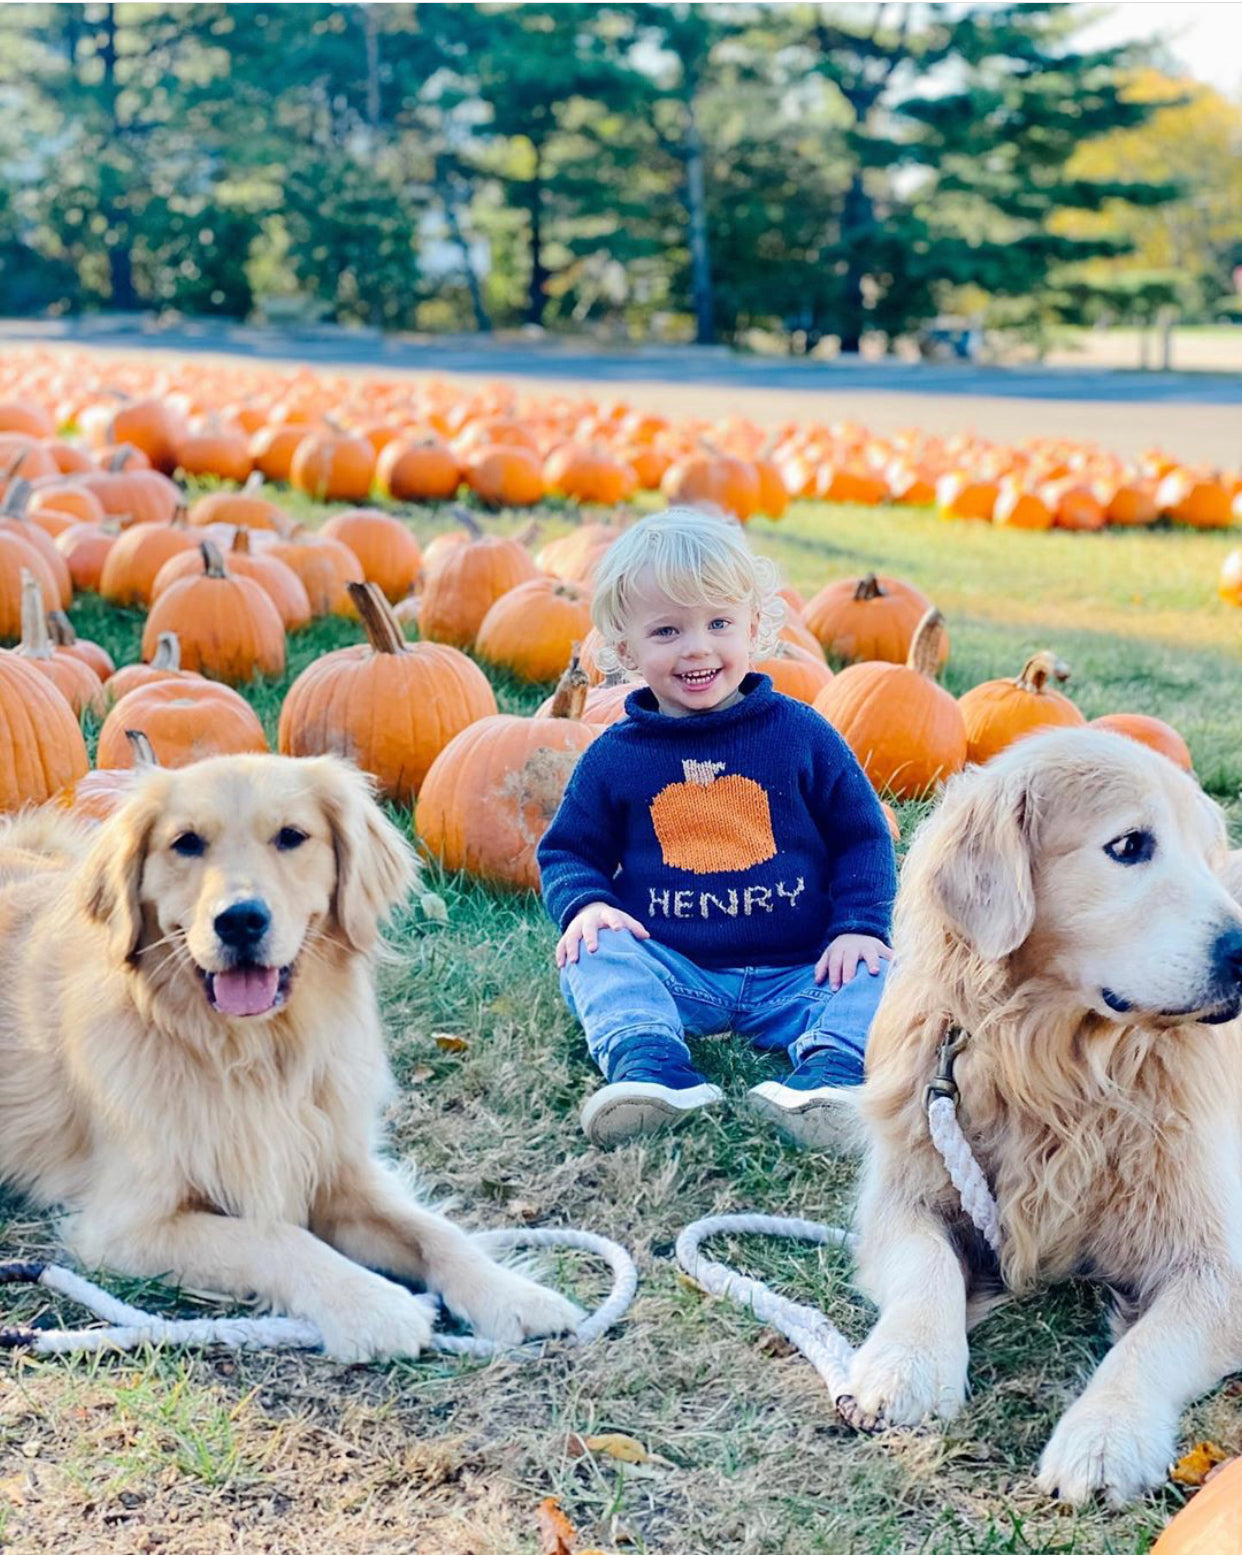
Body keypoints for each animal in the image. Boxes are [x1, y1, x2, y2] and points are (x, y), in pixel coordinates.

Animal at [0, 755, 581, 1362]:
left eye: (291, 837)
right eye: (186, 843)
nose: (240, 920)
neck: (252, 1052)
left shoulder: (337, 1167)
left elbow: (433, 1231)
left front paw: (511, 1292)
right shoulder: (126, 1224)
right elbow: (272, 1235)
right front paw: (372, 1304)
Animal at [851, 727, 1242, 1505]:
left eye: (1206, 851)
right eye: (1129, 845)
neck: (1057, 1069)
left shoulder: (1220, 1261)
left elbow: (1148, 1346)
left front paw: (1107, 1433)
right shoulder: (904, 1191)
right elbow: (925, 1268)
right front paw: (907, 1362)